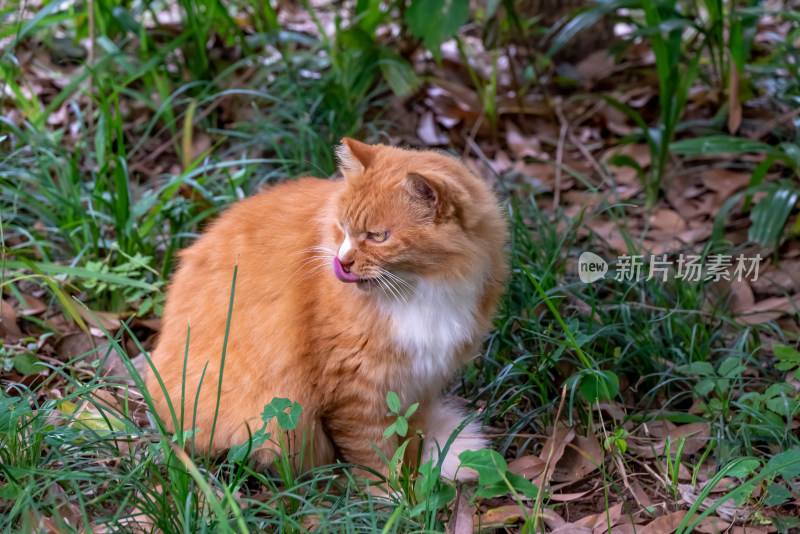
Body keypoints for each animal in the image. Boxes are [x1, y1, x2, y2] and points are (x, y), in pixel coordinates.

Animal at [148, 139, 510, 482]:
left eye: (378, 237)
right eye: (342, 229)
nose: (342, 261)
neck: (422, 291)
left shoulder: (421, 382)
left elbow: (410, 443)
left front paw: (416, 483)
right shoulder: (355, 393)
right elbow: (372, 454)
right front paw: (390, 496)